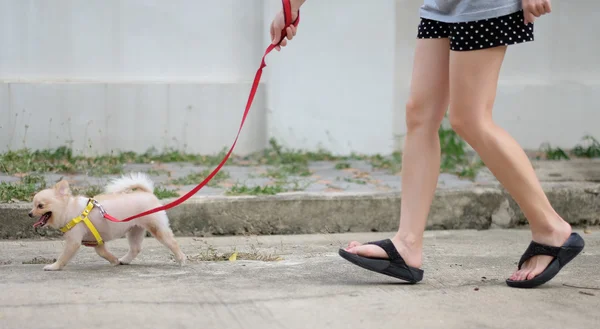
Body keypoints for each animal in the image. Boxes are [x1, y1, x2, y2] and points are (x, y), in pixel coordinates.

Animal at [27, 172, 185, 270]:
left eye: (40, 206)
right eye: (33, 205)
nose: (29, 213)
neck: (69, 210)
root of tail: (147, 192)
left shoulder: (73, 242)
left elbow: (63, 257)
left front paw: (53, 267)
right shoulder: (98, 243)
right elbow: (103, 253)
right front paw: (114, 260)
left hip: (156, 227)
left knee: (172, 242)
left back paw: (181, 259)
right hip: (135, 230)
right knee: (135, 248)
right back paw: (124, 260)